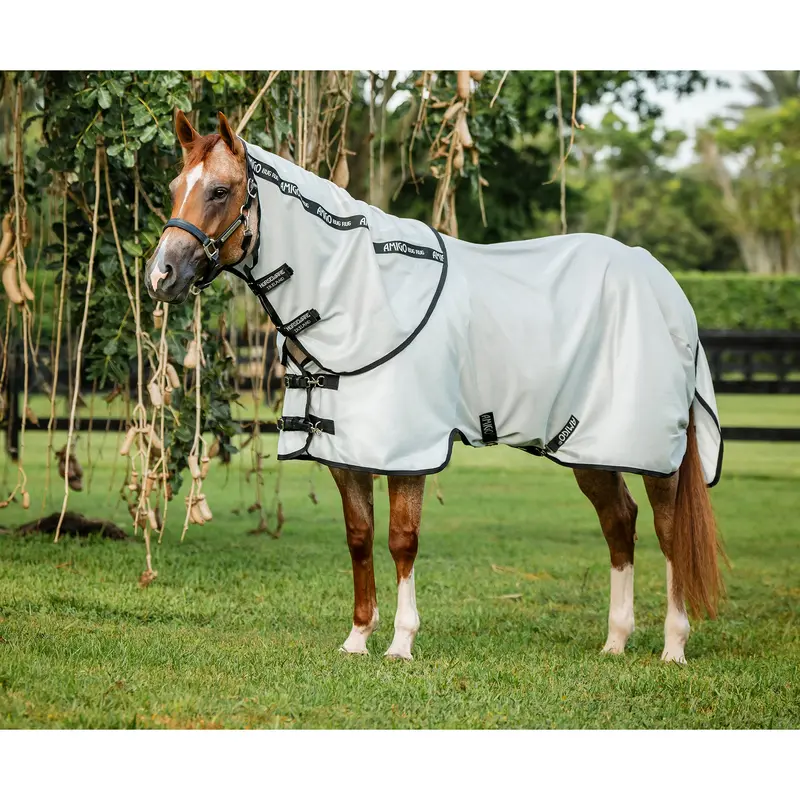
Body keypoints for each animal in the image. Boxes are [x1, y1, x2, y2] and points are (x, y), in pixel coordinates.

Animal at [146, 110, 725, 664]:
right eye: (174, 186)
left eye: (220, 190)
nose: (161, 275)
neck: (359, 296)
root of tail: (665, 285)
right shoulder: (345, 454)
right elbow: (360, 538)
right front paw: (357, 638)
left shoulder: (409, 453)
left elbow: (403, 540)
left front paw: (401, 643)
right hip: (588, 445)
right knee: (619, 522)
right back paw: (616, 642)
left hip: (653, 452)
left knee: (669, 531)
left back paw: (673, 647)